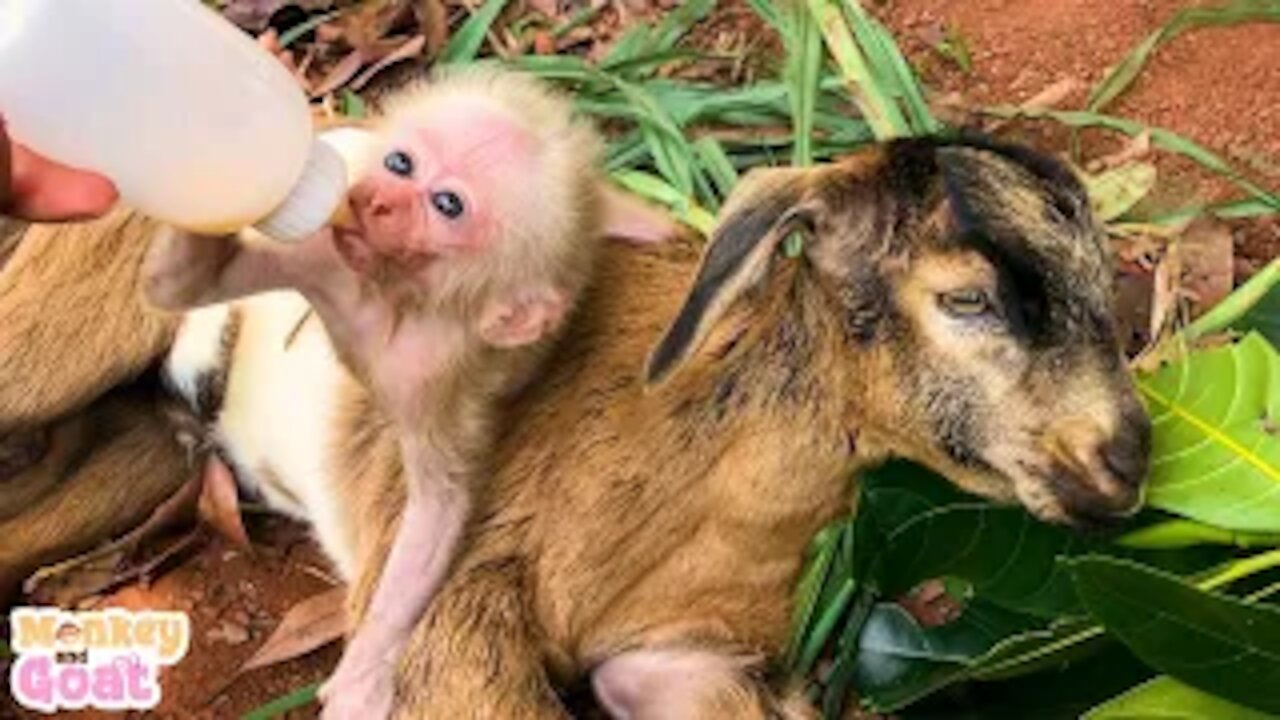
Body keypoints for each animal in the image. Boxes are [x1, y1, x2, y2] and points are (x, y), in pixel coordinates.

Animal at [145, 68, 614, 717]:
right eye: (401, 163)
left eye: (448, 204)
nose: (376, 199)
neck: (389, 298)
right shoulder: (322, 254)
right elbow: (181, 285)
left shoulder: (439, 376)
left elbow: (438, 513)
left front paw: (367, 666)